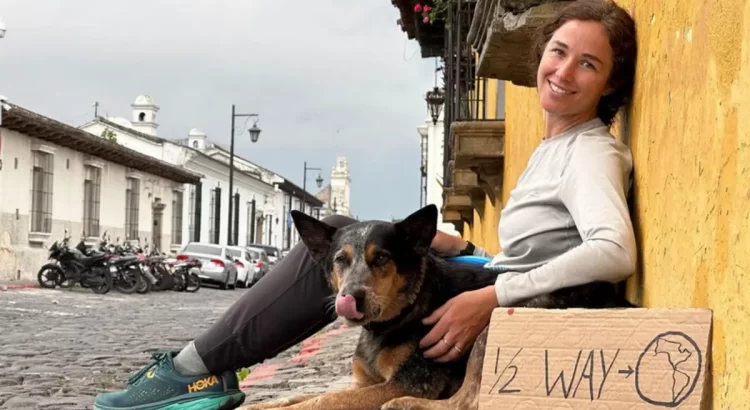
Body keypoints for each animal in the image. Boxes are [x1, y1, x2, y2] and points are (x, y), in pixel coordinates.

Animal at [242, 205, 636, 410]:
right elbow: (304, 396)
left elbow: (323, 401)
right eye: (341, 259)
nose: (351, 298)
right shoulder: (363, 382)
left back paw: (406, 407)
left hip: (492, 328)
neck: (406, 310)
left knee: (465, 402)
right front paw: (262, 405)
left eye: (382, 258)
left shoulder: (409, 382)